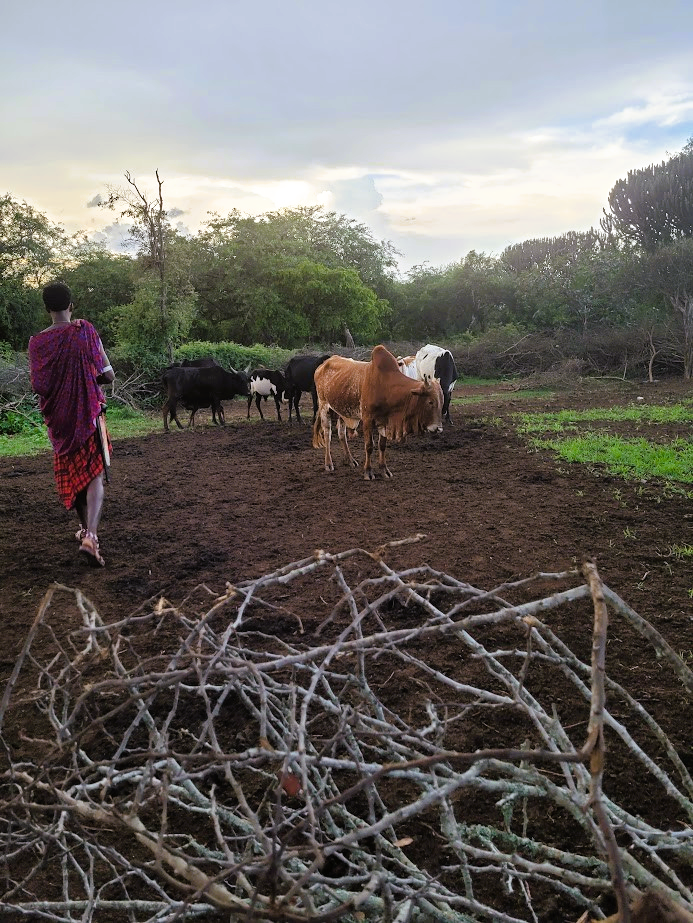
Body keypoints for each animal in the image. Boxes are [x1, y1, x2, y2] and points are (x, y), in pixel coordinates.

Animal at [312, 345, 444, 480]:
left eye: (442, 401)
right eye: (430, 402)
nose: (438, 428)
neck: (386, 386)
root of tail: (323, 364)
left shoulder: (385, 421)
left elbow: (382, 445)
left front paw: (384, 469)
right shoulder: (367, 420)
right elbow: (369, 446)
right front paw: (368, 471)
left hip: (342, 412)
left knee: (342, 434)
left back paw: (350, 460)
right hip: (324, 407)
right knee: (327, 435)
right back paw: (328, 464)